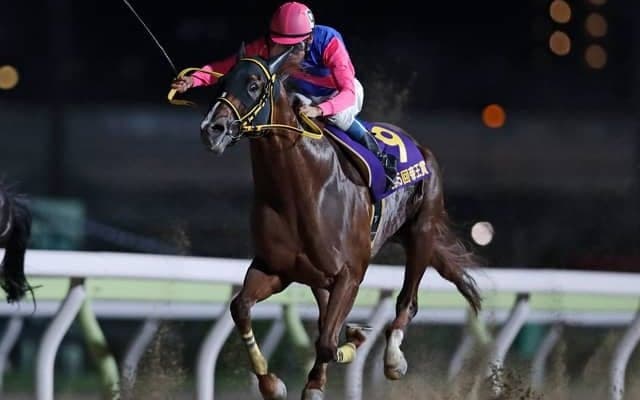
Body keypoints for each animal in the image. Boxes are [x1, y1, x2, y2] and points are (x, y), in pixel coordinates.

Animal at [197, 47, 483, 400]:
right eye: (222, 81)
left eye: (253, 85)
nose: (212, 129)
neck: (300, 189)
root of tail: (419, 145)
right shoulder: (275, 268)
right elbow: (241, 308)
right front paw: (271, 383)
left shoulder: (350, 274)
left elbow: (328, 343)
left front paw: (334, 363)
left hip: (421, 232)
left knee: (407, 301)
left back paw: (393, 358)